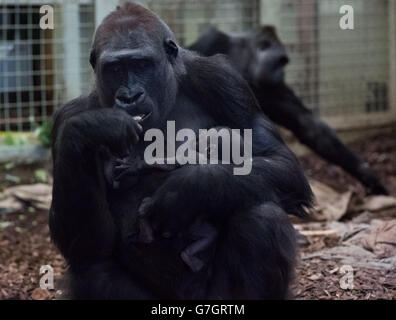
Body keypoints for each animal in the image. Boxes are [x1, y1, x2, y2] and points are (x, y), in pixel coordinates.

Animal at [103, 126, 246, 272]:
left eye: (206, 136)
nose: (200, 133)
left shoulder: (192, 154)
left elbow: (171, 164)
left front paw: (135, 167)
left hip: (178, 223)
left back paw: (147, 232)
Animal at [190, 25, 388, 195]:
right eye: (280, 61)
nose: (282, 73)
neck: (246, 59)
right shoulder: (211, 41)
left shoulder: (271, 87)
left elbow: (306, 123)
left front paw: (366, 174)